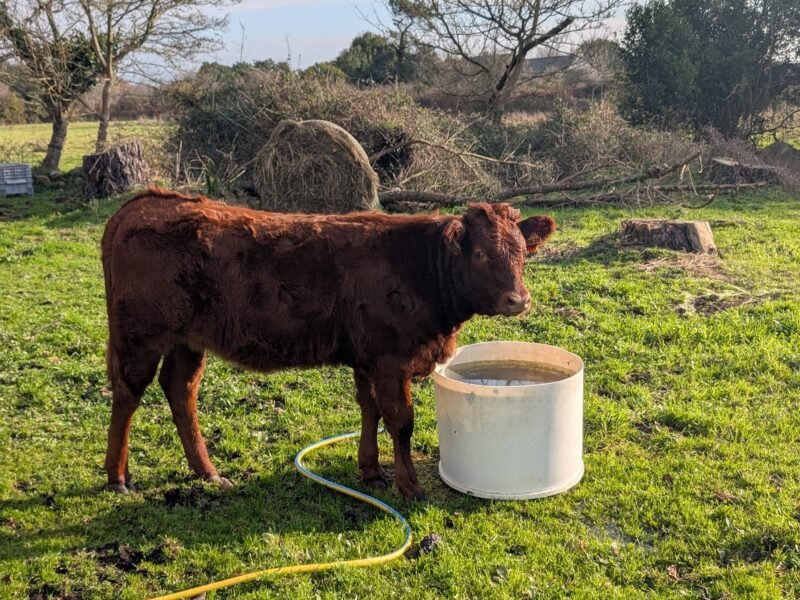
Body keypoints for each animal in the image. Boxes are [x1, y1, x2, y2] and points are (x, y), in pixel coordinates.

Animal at [101, 187, 556, 499]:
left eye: (522, 250)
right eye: (479, 254)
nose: (518, 299)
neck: (420, 267)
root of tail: (146, 202)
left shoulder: (367, 359)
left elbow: (369, 410)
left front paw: (370, 471)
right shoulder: (392, 360)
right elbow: (400, 421)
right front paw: (409, 486)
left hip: (186, 341)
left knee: (180, 390)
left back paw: (207, 472)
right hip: (139, 337)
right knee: (127, 395)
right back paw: (118, 477)